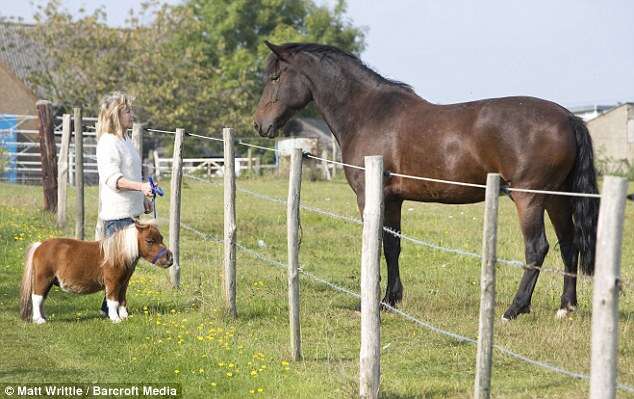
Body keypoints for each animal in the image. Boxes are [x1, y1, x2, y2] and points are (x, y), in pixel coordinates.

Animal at [20, 222, 173, 324]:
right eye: (149, 240)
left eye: (161, 238)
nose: (170, 259)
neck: (117, 254)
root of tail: (39, 246)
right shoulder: (113, 282)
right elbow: (113, 300)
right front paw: (115, 318)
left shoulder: (124, 283)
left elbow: (122, 299)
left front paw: (124, 316)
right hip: (43, 279)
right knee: (37, 297)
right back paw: (39, 319)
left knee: (41, 299)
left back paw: (43, 317)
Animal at [253, 41, 596, 322]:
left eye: (275, 77)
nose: (259, 124)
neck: (368, 113)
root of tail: (569, 117)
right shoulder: (393, 199)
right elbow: (392, 245)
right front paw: (390, 300)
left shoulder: (369, 196)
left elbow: (377, 244)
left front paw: (376, 301)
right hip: (556, 198)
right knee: (569, 245)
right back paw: (566, 307)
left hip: (529, 197)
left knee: (537, 249)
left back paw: (514, 309)